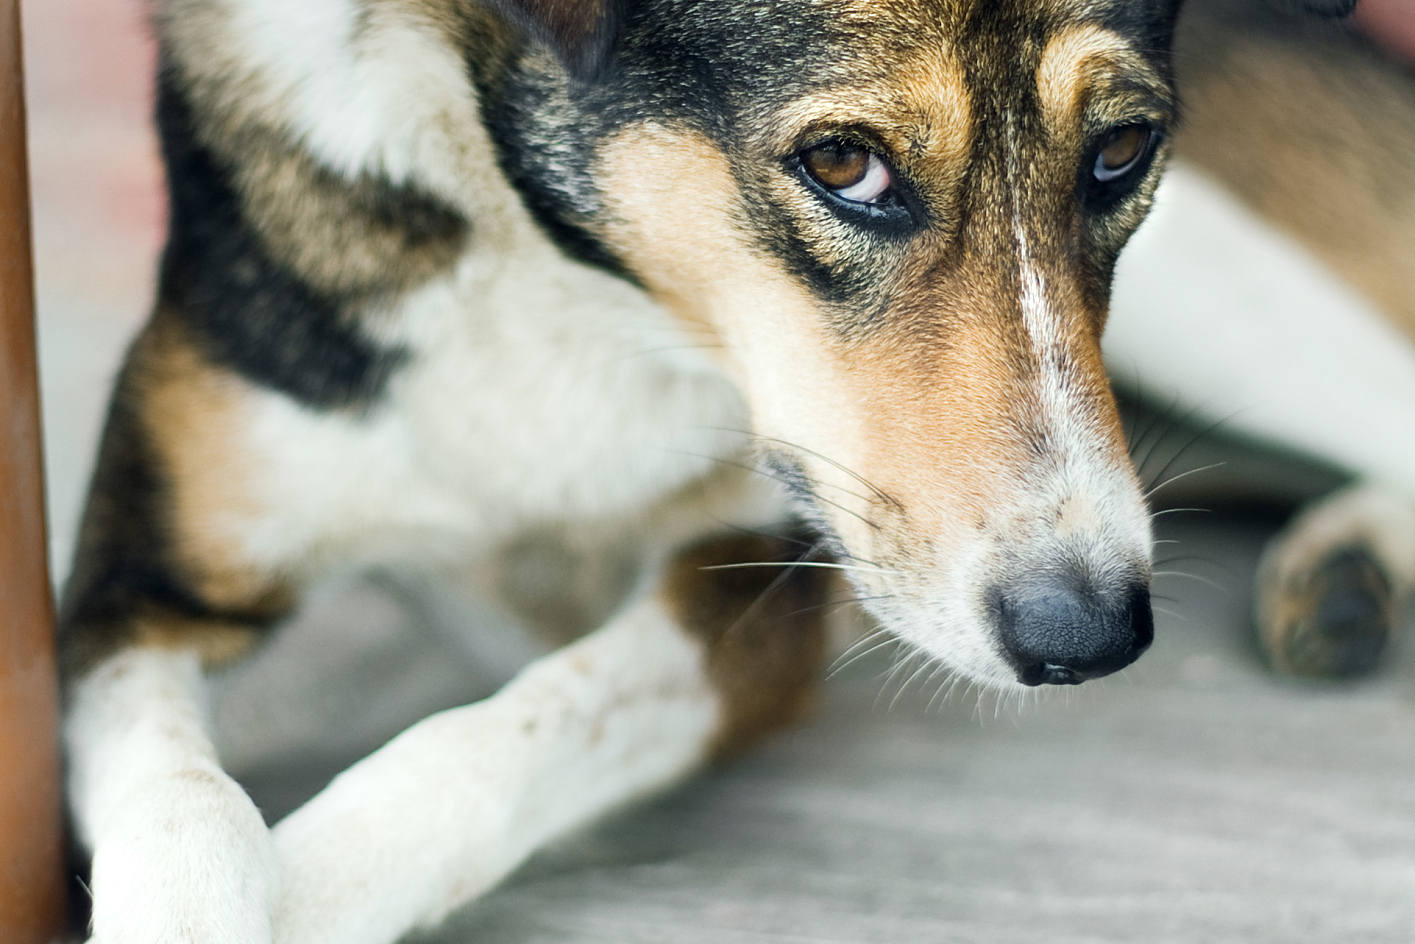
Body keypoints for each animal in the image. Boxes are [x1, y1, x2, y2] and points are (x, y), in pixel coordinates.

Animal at [52, 0, 1392, 939]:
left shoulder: (762, 594)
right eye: (843, 163)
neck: (569, 270)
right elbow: (184, 802)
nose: (1092, 635)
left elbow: (514, 726)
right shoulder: (134, 587)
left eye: (1120, 148)